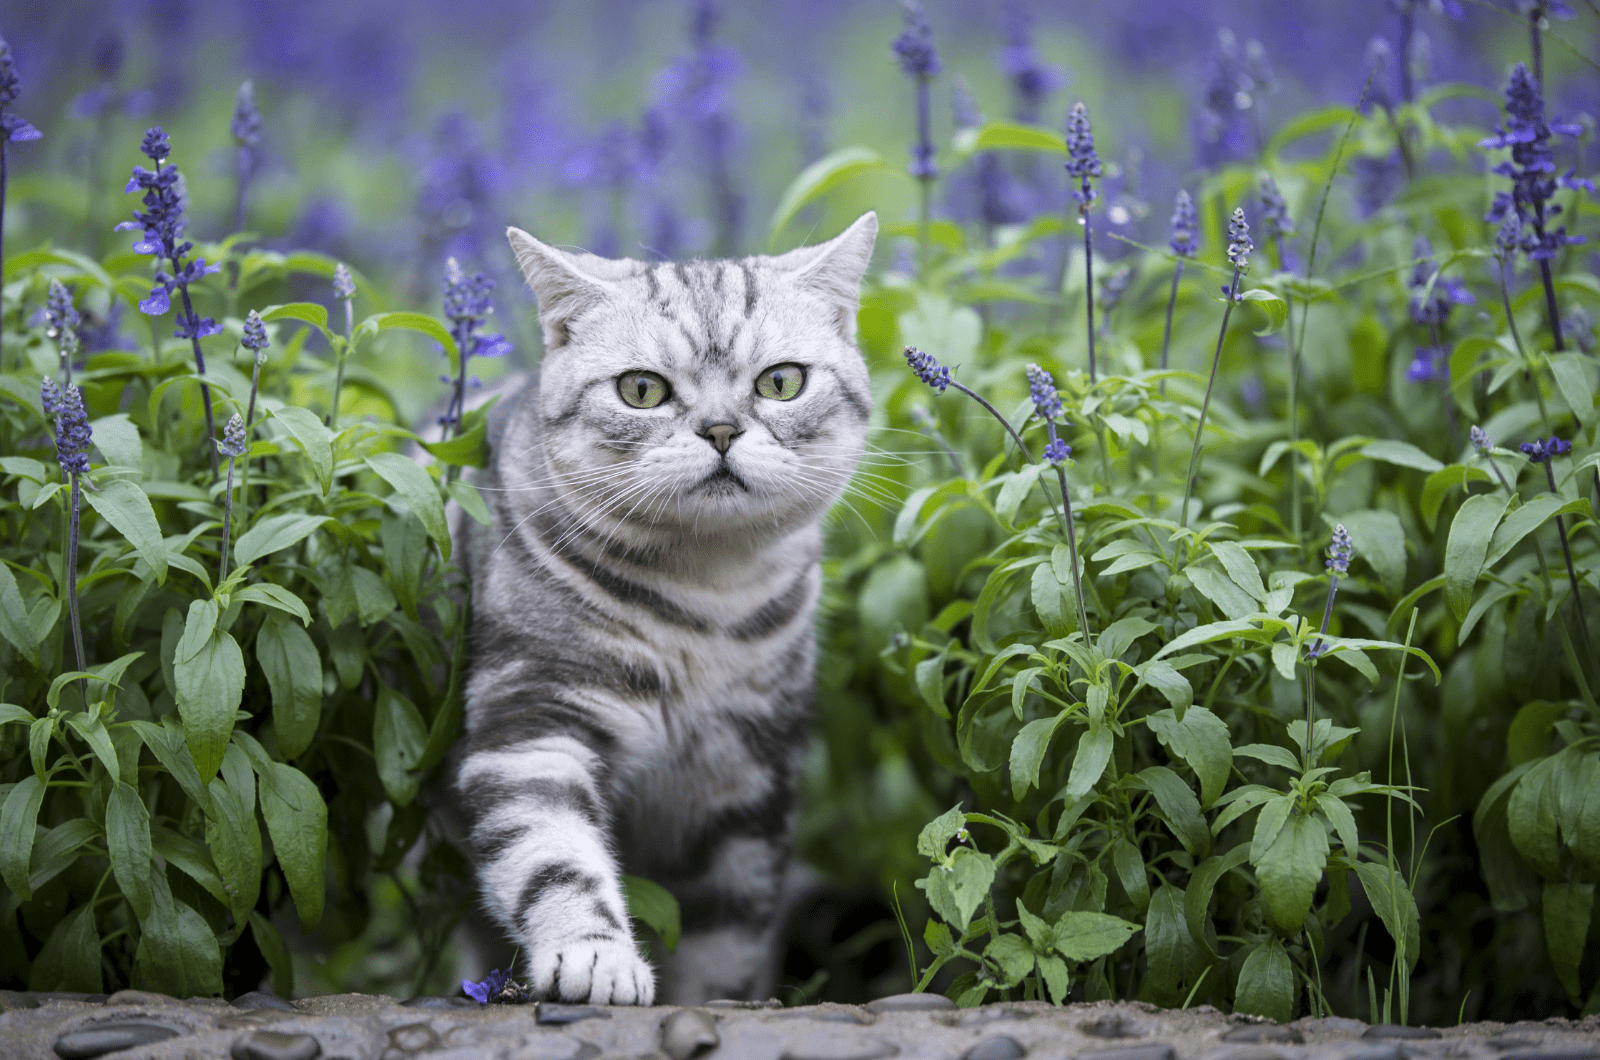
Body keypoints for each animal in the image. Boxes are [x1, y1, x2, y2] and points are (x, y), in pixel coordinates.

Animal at [457, 211, 883, 1011]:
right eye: (642, 390)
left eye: (781, 382)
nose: (720, 429)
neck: (706, 604)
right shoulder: (531, 723)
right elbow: (553, 857)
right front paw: (595, 956)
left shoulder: (746, 783)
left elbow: (728, 938)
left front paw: (719, 1003)